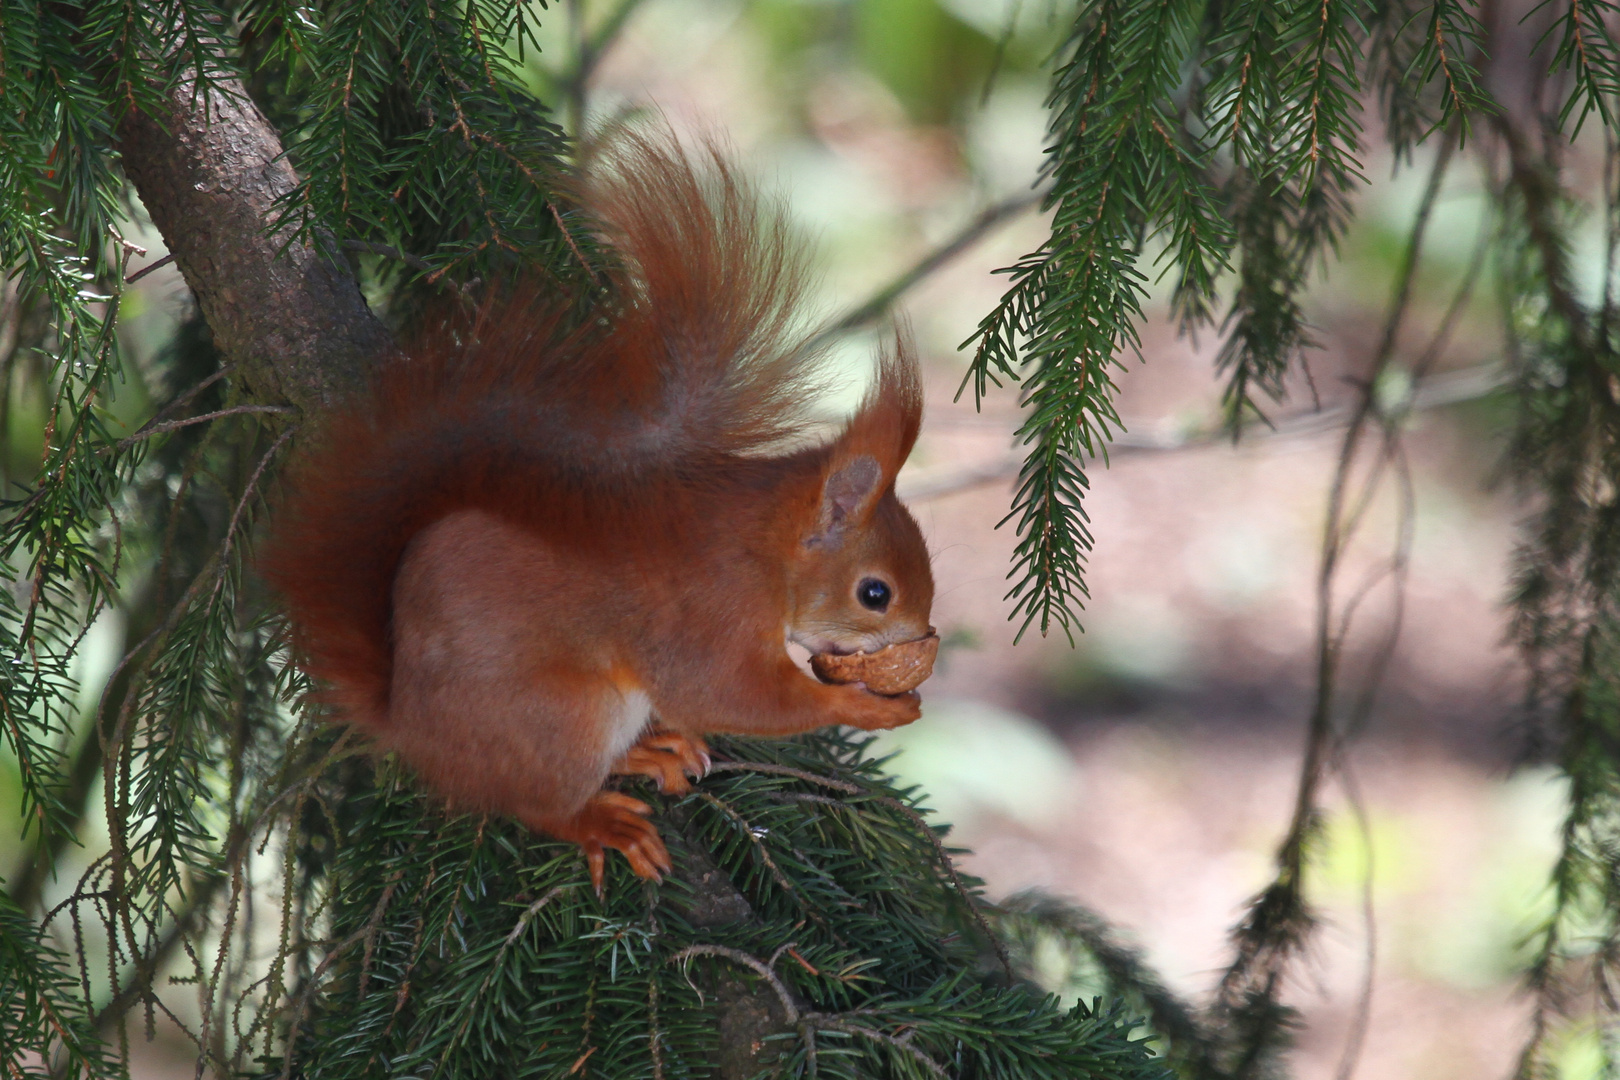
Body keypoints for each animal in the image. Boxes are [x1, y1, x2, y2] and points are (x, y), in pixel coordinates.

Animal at [259, 135, 933, 893]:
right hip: (561, 719)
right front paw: (865, 707)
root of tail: (408, 728)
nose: (924, 639)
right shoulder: (710, 614)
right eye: (875, 594)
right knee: (535, 804)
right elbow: (729, 695)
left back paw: (653, 751)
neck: (763, 547)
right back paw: (600, 821)